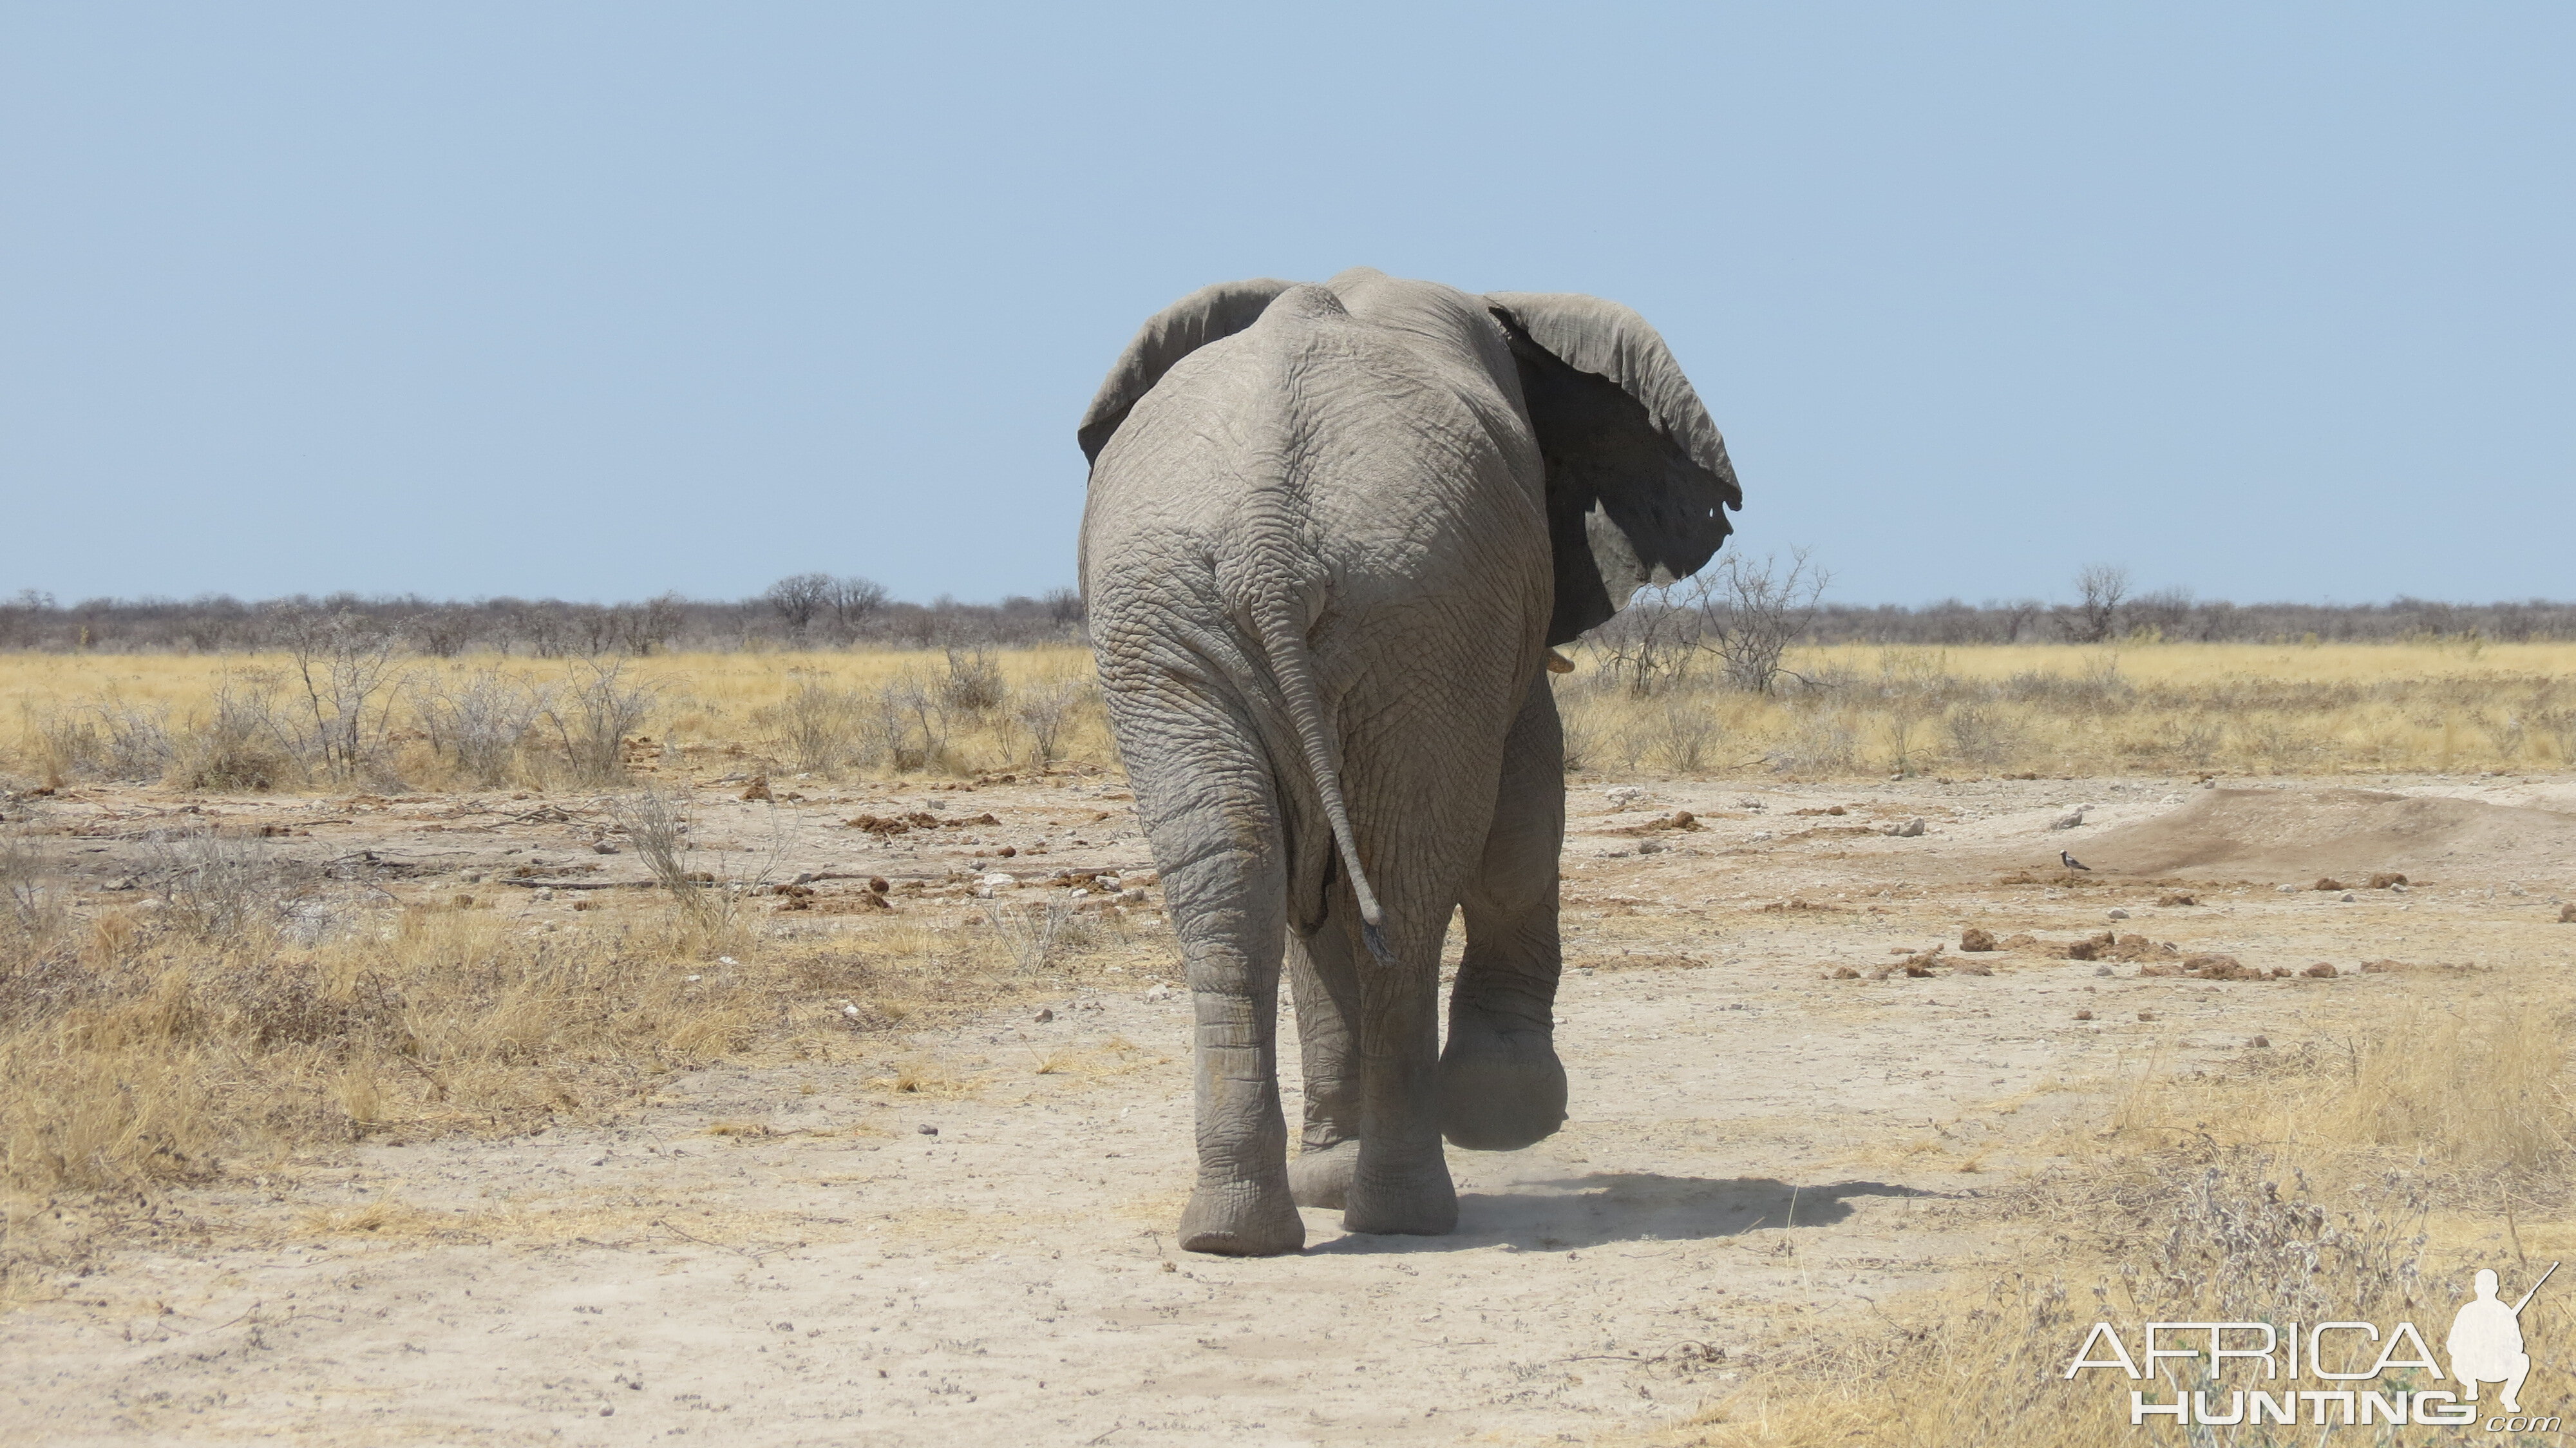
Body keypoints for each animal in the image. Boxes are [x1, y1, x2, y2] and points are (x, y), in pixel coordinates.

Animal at [1077, 271, 1741, 1252]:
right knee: (1403, 877)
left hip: (1187, 617)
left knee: (1243, 876)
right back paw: (1402, 1210)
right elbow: (1524, 816)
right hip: (1401, 608)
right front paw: (1507, 1115)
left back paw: (1242, 1231)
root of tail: (1268, 544)